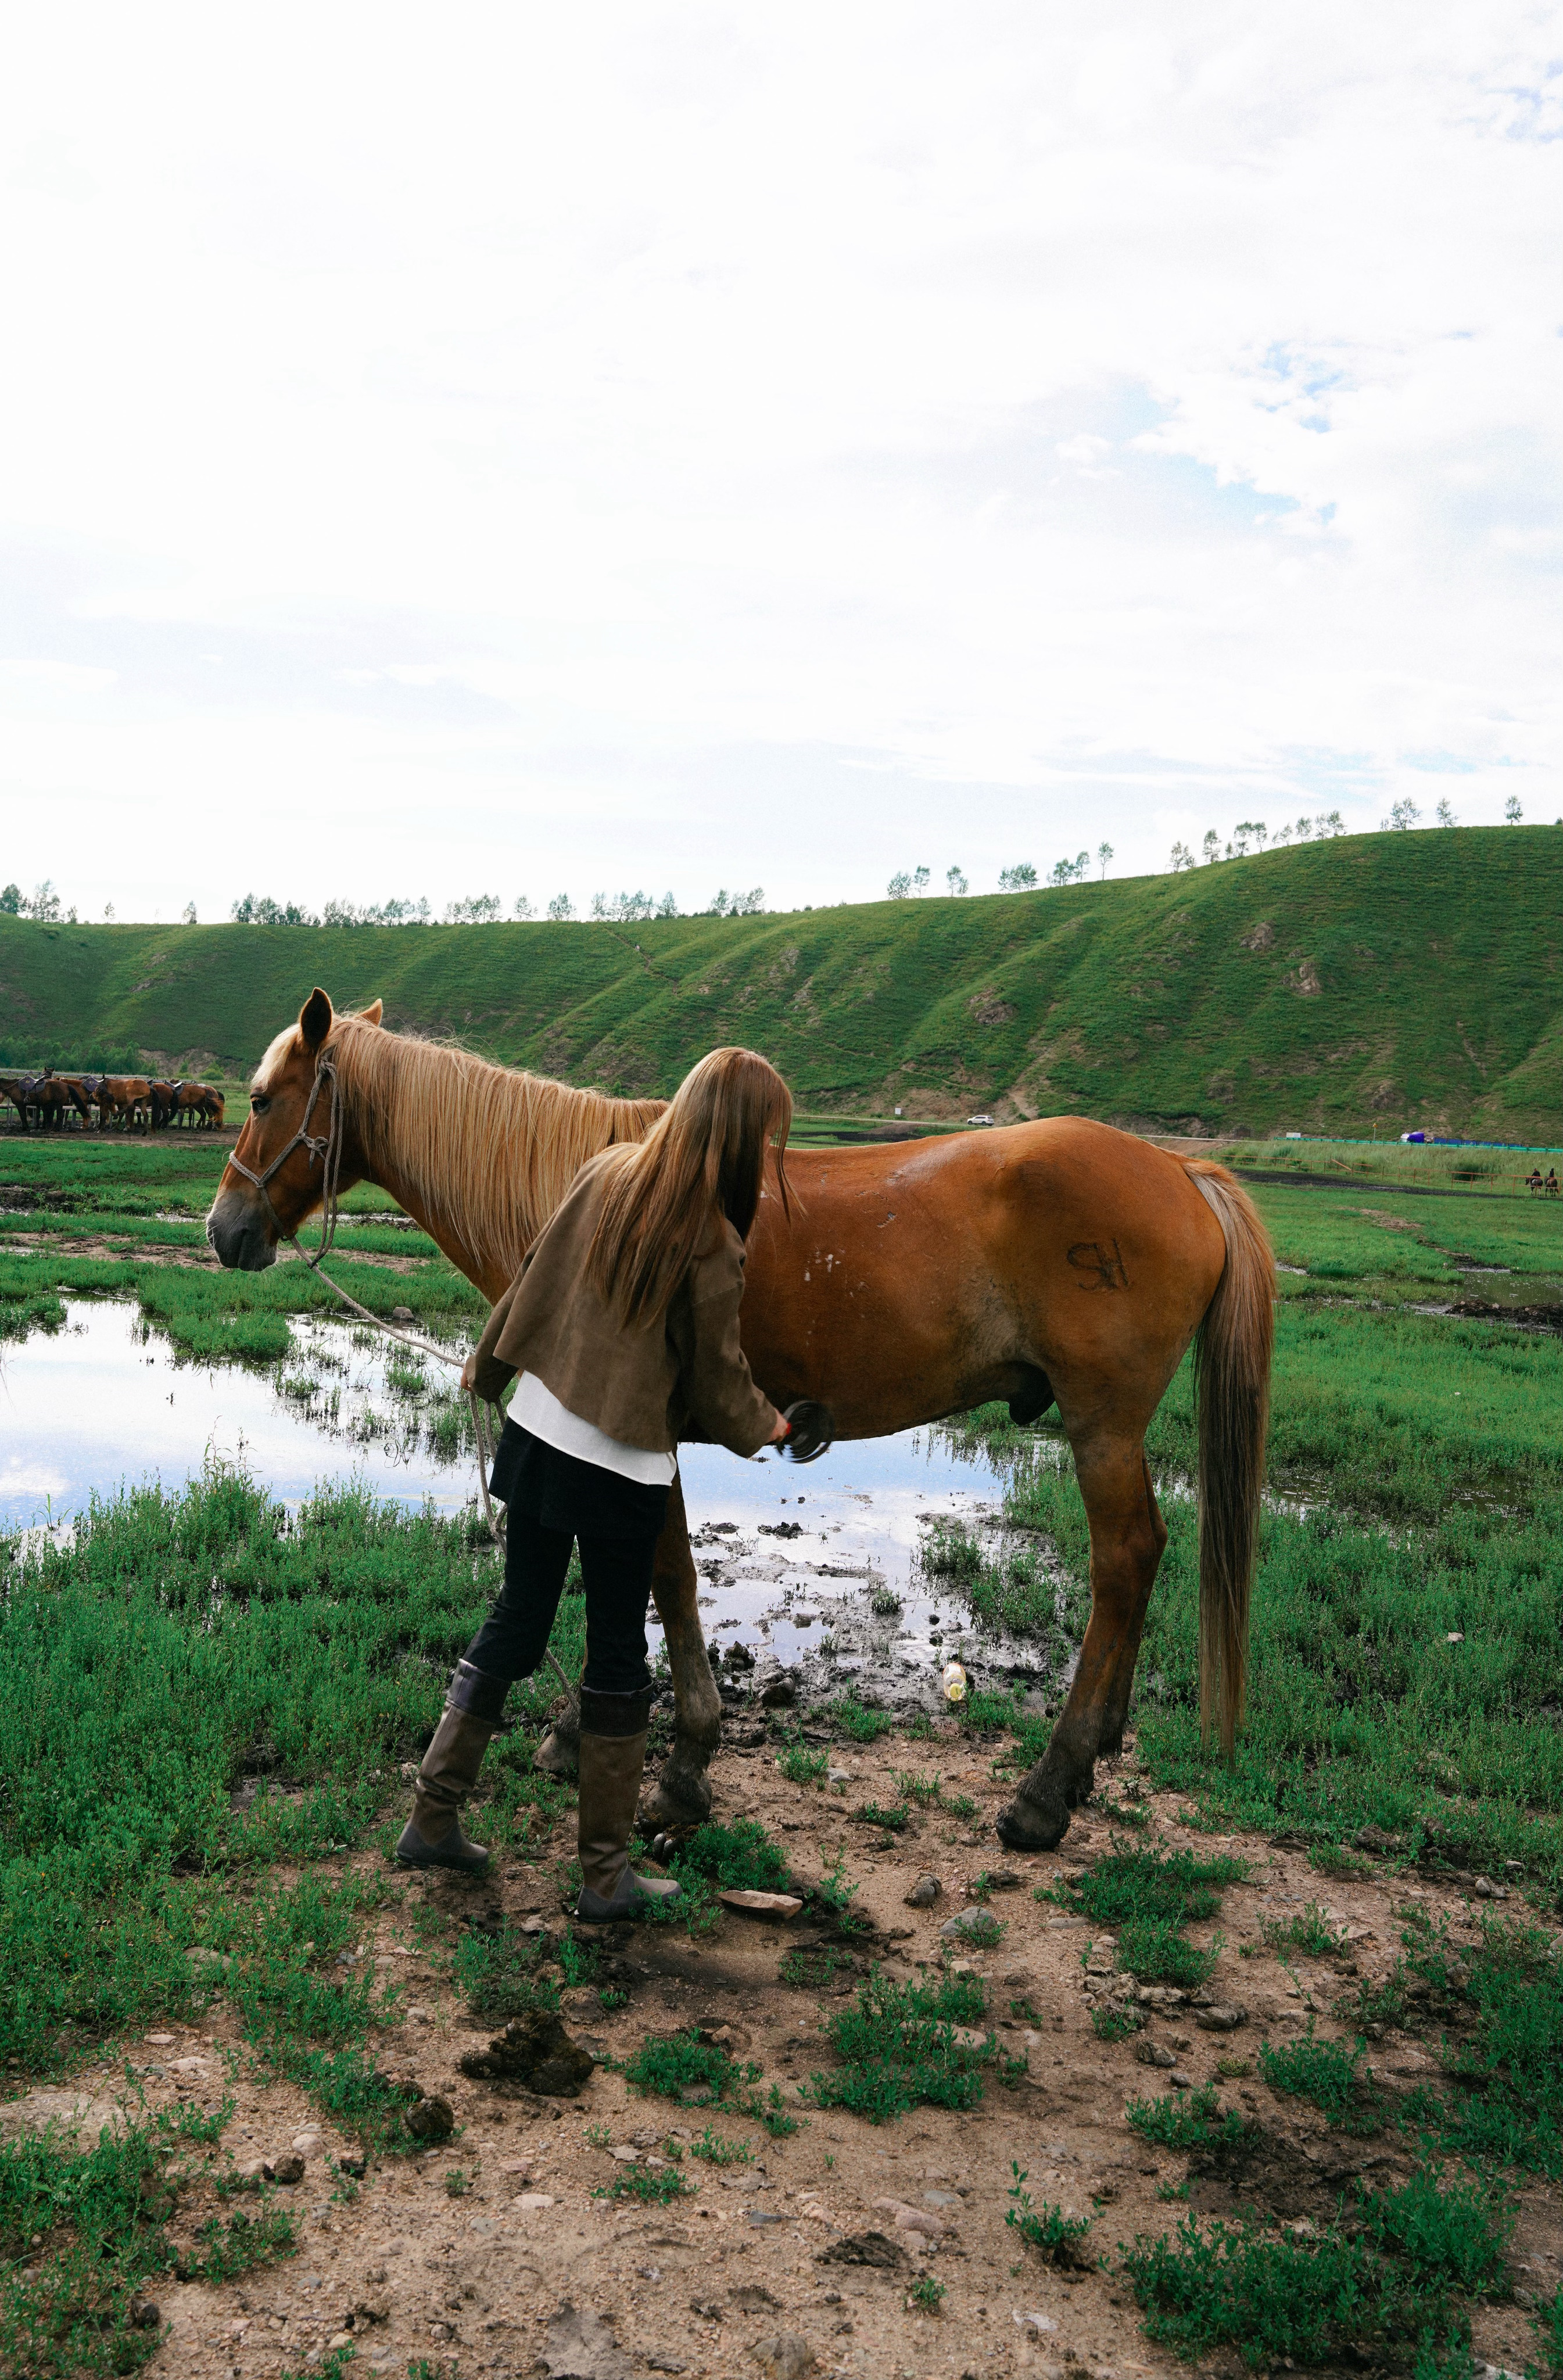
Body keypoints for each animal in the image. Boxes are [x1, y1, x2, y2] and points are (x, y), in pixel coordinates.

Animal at [206, 991, 1274, 1850]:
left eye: (259, 1101)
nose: (226, 1232)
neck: (616, 1198)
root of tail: (1180, 1170)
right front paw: (583, 1732)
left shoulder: (640, 1434)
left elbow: (666, 1578)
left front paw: (682, 1761)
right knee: (1143, 1559)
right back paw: (1096, 1754)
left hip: (1102, 1428)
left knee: (1124, 1560)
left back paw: (1047, 1790)